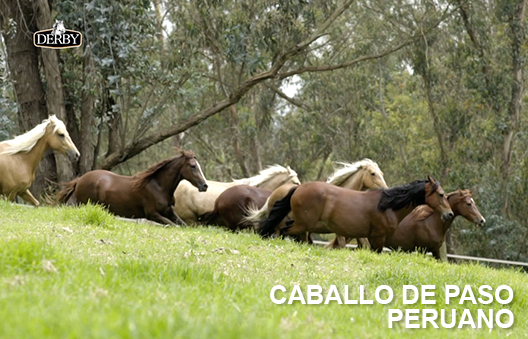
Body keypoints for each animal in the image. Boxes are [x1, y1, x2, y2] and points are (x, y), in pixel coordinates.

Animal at [55, 151, 208, 226]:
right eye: (193, 166)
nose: (205, 186)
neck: (159, 187)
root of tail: (80, 179)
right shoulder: (153, 215)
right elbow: (173, 226)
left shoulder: (169, 212)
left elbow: (183, 225)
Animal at [260, 177, 454, 251]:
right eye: (441, 194)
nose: (449, 214)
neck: (388, 206)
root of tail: (298, 188)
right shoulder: (378, 238)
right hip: (302, 225)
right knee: (283, 232)